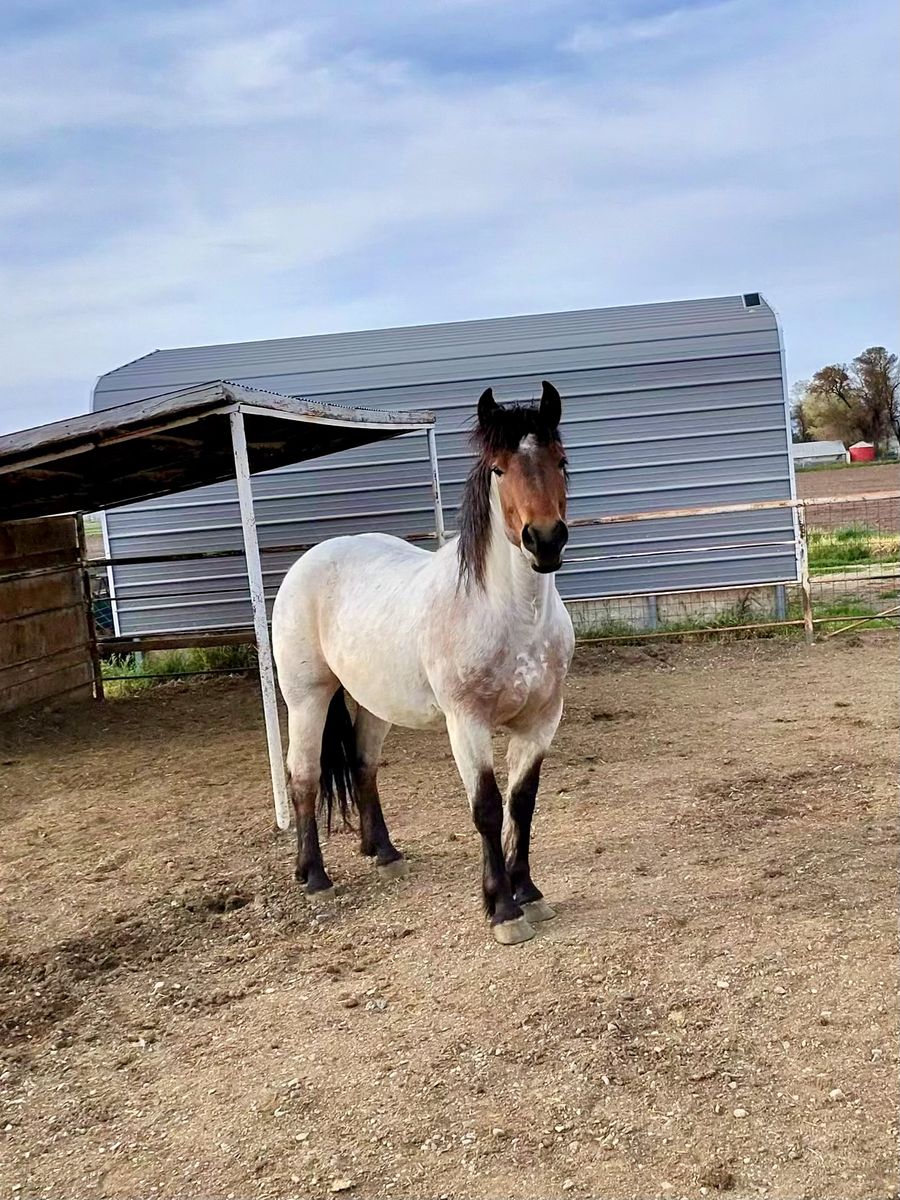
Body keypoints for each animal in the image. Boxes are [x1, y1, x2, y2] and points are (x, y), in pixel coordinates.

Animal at [271, 381, 574, 945]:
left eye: (561, 461)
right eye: (498, 469)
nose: (545, 540)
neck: (509, 614)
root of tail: (312, 559)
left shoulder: (542, 720)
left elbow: (522, 803)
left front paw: (529, 893)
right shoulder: (466, 722)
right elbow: (487, 807)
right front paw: (503, 910)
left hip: (374, 703)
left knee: (364, 765)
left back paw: (385, 854)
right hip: (306, 698)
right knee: (303, 775)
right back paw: (314, 876)